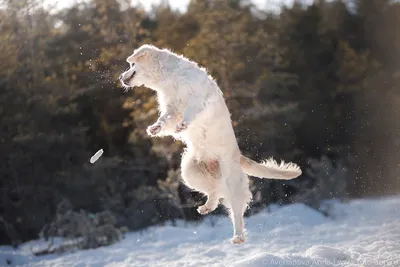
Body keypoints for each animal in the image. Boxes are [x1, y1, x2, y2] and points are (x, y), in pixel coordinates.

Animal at [119, 44, 300, 245]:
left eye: (132, 64)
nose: (121, 77)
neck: (170, 77)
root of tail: (239, 157)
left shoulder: (197, 98)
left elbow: (190, 110)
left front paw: (183, 124)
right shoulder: (172, 108)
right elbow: (166, 119)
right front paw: (155, 128)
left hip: (231, 181)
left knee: (236, 210)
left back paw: (238, 236)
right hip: (189, 171)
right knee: (214, 191)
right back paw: (206, 208)